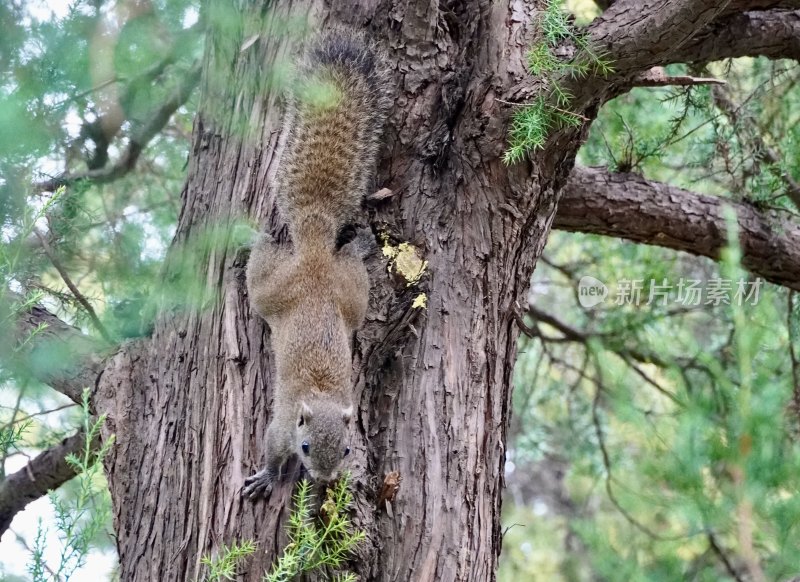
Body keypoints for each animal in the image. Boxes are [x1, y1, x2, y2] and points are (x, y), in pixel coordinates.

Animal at [242, 29, 390, 500]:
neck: (320, 395)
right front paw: (268, 477)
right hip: (274, 288)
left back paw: (361, 242)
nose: (324, 479)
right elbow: (272, 449)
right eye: (305, 446)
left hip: (350, 293)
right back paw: (256, 237)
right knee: (261, 268)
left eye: (346, 450)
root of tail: (314, 248)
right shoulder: (281, 426)